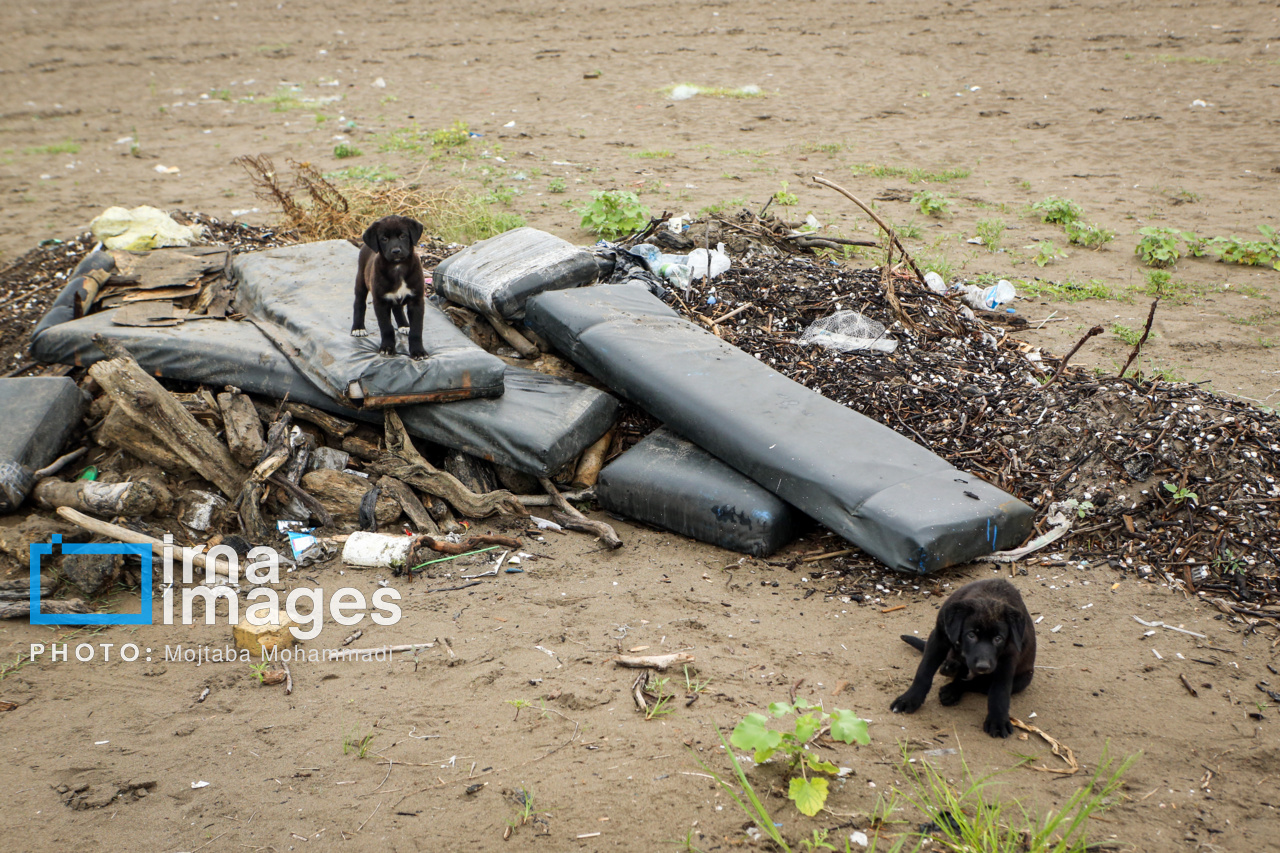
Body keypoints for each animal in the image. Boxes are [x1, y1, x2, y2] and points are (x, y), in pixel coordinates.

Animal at [350, 216, 430, 358]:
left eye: (403, 235)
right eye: (384, 239)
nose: (396, 251)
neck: (397, 268)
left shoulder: (416, 300)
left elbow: (416, 329)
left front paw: (418, 351)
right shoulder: (380, 302)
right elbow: (386, 327)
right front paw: (387, 348)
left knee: (397, 308)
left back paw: (404, 325)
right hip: (361, 279)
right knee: (359, 303)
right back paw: (358, 328)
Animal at [896, 573, 1034, 732]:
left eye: (998, 638)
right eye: (971, 635)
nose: (983, 667)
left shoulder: (1008, 657)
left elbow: (1000, 690)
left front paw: (998, 720)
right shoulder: (939, 637)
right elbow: (924, 671)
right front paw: (909, 699)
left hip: (1023, 679)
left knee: (975, 683)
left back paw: (951, 689)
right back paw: (950, 668)